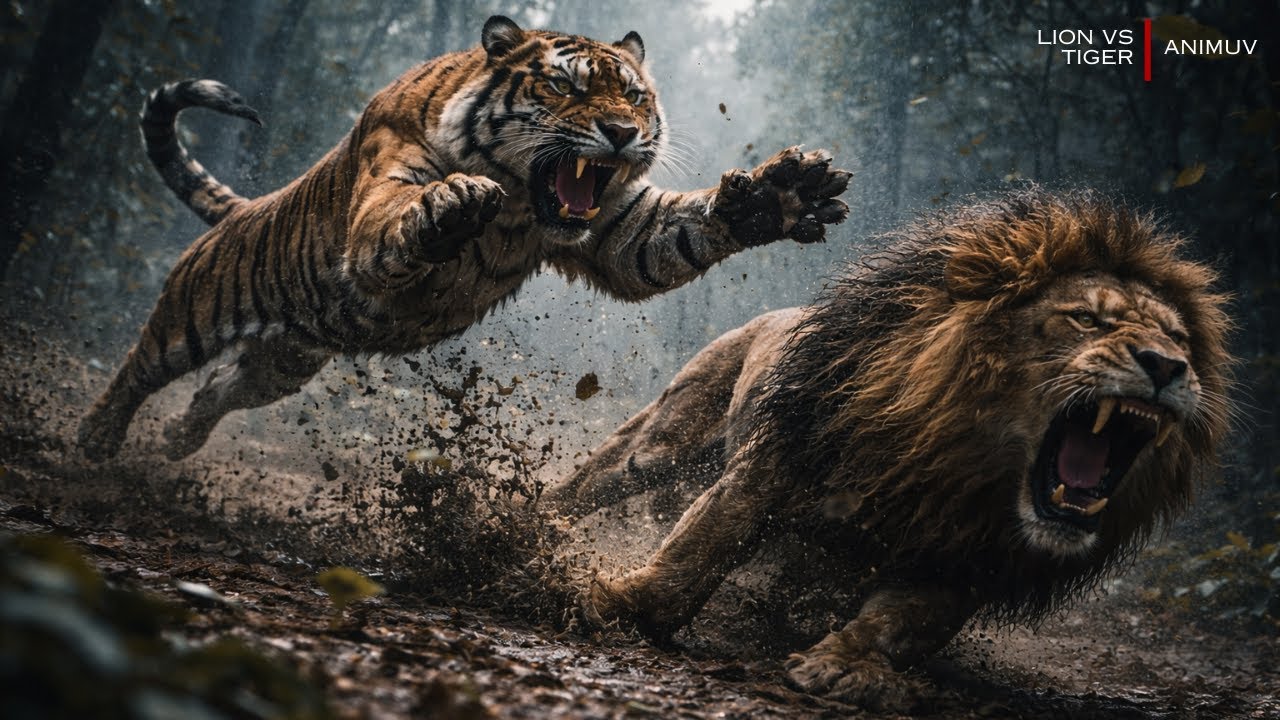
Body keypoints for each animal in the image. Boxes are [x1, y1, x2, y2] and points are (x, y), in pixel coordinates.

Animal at [77, 15, 851, 462]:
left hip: (281, 362)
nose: (623, 132)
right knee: (139, 370)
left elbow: (681, 233)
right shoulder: (381, 199)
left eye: (633, 94)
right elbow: (401, 217)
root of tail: (244, 210)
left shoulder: (621, 228)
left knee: (215, 390)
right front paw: (451, 205)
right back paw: (94, 446)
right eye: (567, 87)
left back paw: (174, 446)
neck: (521, 204)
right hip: (193, 313)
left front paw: (782, 194)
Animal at [545, 188, 1234, 708]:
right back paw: (533, 522)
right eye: (1086, 320)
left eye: (1179, 339)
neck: (947, 457)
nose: (1167, 366)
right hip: (660, 442)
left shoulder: (955, 558)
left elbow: (896, 624)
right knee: (586, 484)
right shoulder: (772, 467)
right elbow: (695, 554)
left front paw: (846, 666)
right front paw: (614, 603)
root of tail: (766, 315)